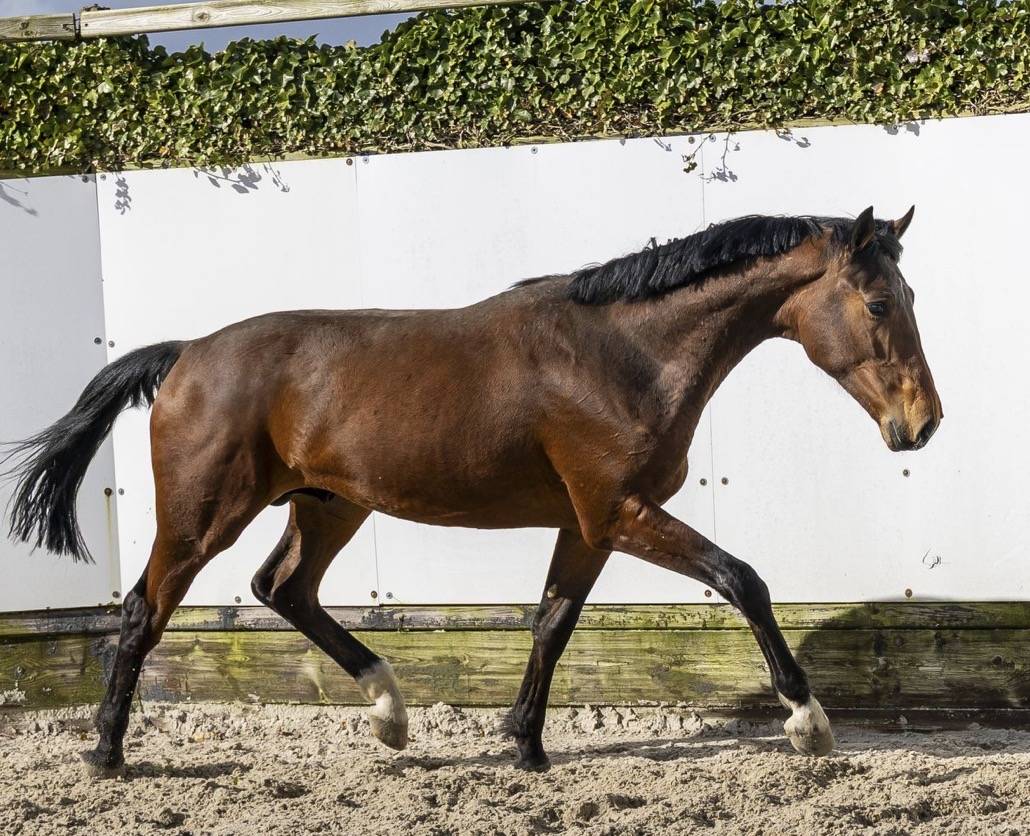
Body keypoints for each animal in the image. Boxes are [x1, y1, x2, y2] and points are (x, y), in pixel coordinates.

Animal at [4, 205, 941, 776]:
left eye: (909, 292)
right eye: (877, 303)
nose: (922, 423)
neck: (626, 354)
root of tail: (186, 353)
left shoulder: (590, 523)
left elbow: (553, 622)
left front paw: (524, 745)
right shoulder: (621, 511)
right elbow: (742, 578)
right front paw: (809, 723)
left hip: (330, 504)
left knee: (284, 588)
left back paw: (389, 713)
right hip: (203, 515)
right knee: (144, 611)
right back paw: (106, 754)